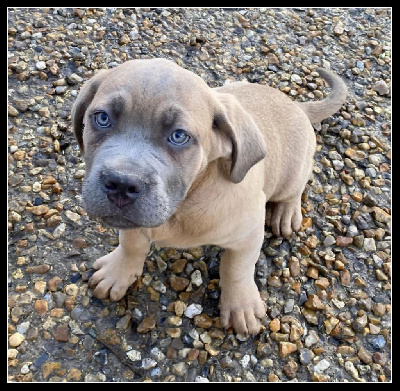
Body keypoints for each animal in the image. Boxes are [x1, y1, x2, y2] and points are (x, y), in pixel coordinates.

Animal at [72, 59, 346, 336]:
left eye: (179, 136)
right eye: (102, 118)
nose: (121, 184)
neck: (184, 204)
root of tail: (297, 105)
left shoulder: (248, 234)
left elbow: (237, 269)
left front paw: (241, 306)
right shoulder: (132, 222)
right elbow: (131, 244)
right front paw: (118, 272)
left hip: (292, 172)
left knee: (297, 186)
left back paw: (286, 212)